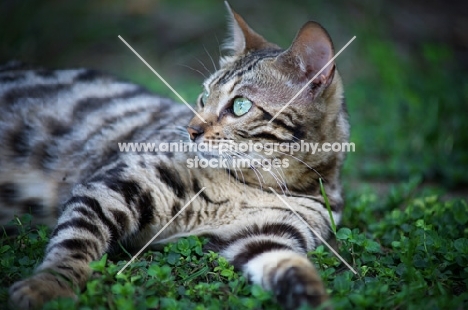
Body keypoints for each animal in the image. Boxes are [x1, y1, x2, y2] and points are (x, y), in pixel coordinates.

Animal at [1, 3, 350, 310]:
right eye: (204, 97)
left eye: (240, 106)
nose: (192, 129)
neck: (257, 185)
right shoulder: (117, 183)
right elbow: (75, 242)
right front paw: (49, 285)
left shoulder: (266, 236)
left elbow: (291, 267)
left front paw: (316, 297)